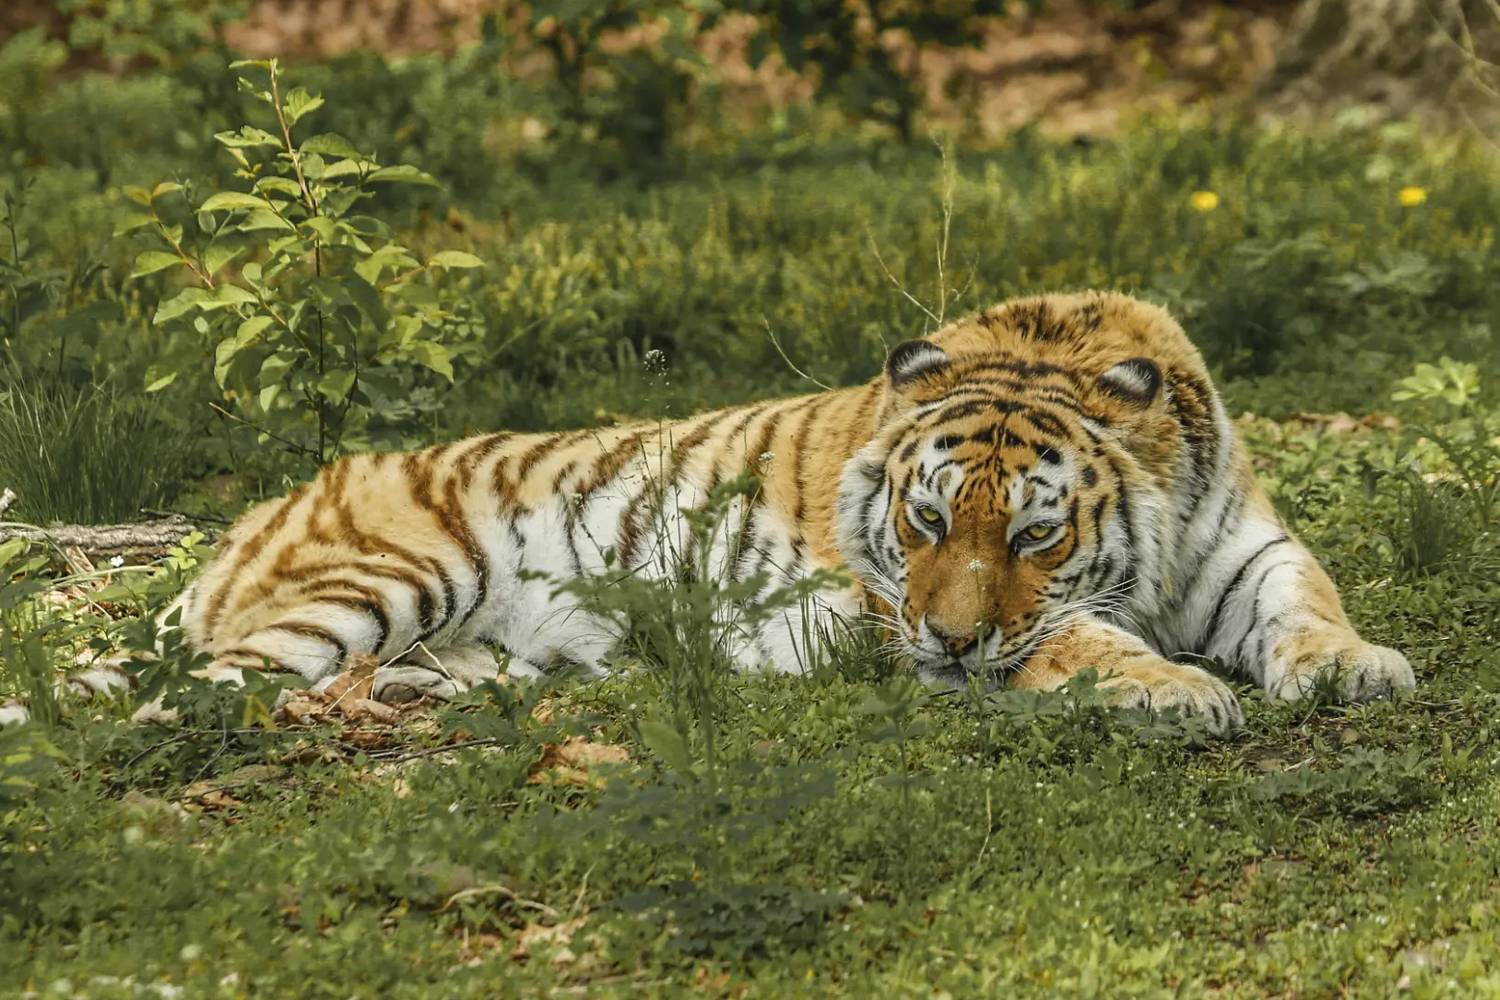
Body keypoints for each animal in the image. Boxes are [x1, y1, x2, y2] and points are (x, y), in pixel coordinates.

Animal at [136, 290, 1414, 733]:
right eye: (926, 523)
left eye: (1034, 533)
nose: (951, 644)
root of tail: (252, 513)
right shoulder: (900, 609)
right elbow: (1079, 642)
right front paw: (1179, 688)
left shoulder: (1249, 547)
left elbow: (1308, 605)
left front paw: (1356, 666)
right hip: (391, 577)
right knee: (188, 690)